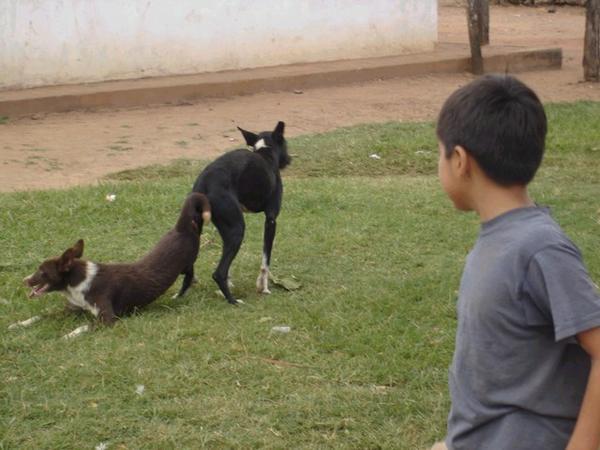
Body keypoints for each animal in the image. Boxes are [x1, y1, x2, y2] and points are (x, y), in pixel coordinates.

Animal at [192, 121, 290, 304]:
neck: (265, 152)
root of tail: (204, 185)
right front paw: (264, 287)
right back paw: (232, 300)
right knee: (219, 273)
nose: (289, 159)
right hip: (237, 230)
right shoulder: (271, 219)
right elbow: (265, 261)